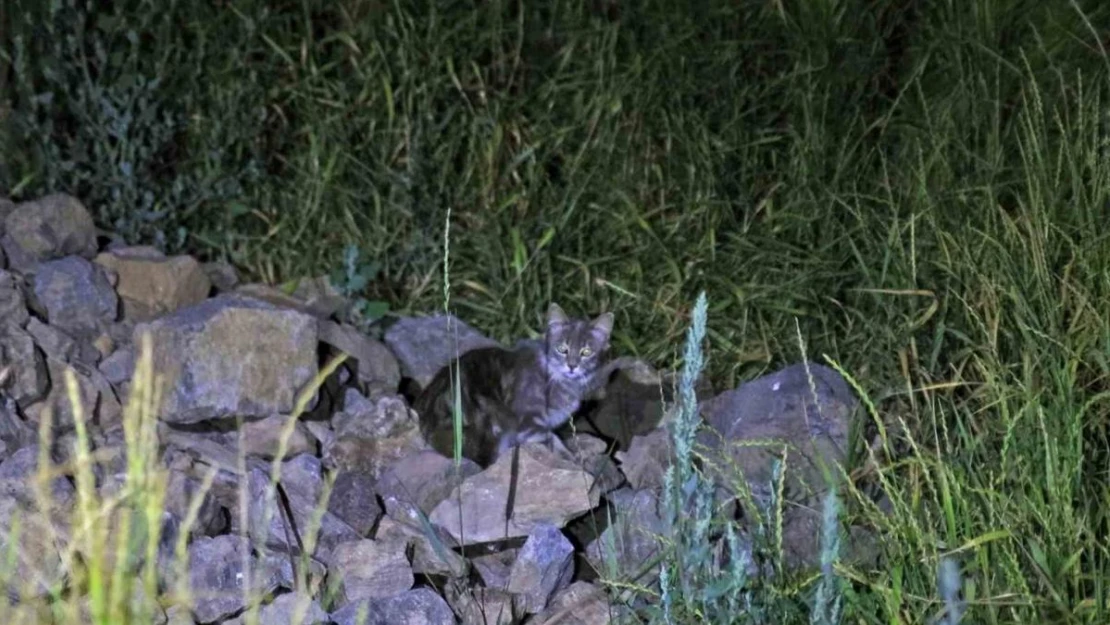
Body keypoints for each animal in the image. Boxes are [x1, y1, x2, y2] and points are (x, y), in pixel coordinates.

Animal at [412, 299, 617, 466]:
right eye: (562, 349)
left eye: (586, 352)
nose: (572, 366)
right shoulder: (526, 421)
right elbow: (551, 437)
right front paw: (570, 456)